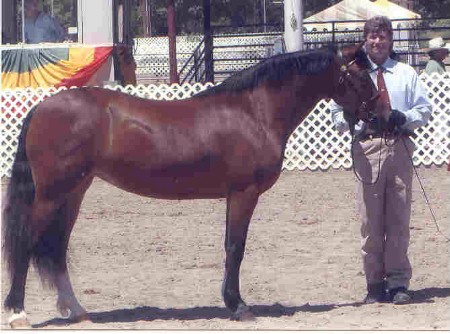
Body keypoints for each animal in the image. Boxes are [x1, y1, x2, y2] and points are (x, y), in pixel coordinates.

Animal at [1, 43, 378, 328]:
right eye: (361, 76)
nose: (384, 117)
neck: (253, 111)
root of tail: (42, 108)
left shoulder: (234, 195)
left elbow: (231, 247)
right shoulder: (244, 193)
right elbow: (235, 247)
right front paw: (238, 306)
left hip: (73, 194)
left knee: (57, 249)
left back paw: (77, 311)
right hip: (50, 196)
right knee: (26, 243)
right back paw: (18, 313)